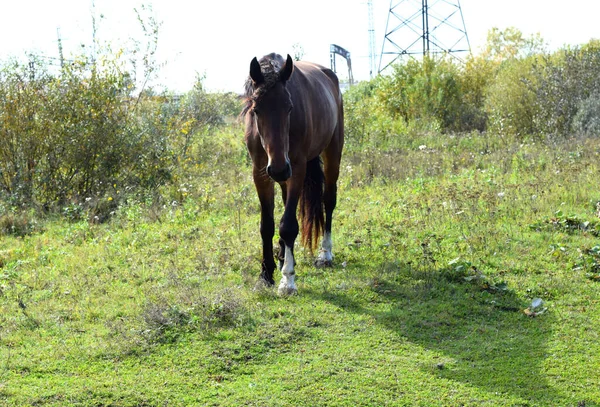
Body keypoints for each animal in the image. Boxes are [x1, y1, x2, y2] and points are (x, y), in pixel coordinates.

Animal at [241, 53, 344, 296]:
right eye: (256, 109)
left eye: (289, 108)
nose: (279, 168)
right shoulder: (260, 173)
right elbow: (267, 225)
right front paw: (266, 274)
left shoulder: (296, 169)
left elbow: (288, 226)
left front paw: (287, 280)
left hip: (332, 152)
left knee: (329, 201)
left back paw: (324, 255)